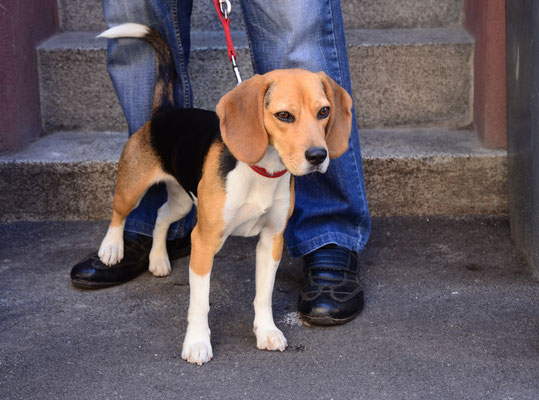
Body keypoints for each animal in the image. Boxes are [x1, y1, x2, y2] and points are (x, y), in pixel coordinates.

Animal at [98, 23, 354, 364]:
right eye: (284, 116)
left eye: (324, 111)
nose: (318, 156)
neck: (262, 171)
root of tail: (164, 113)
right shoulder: (204, 242)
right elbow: (200, 302)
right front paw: (196, 343)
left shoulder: (272, 240)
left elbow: (263, 295)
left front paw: (267, 331)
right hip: (133, 188)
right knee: (120, 213)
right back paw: (112, 248)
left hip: (183, 200)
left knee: (162, 215)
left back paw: (159, 259)